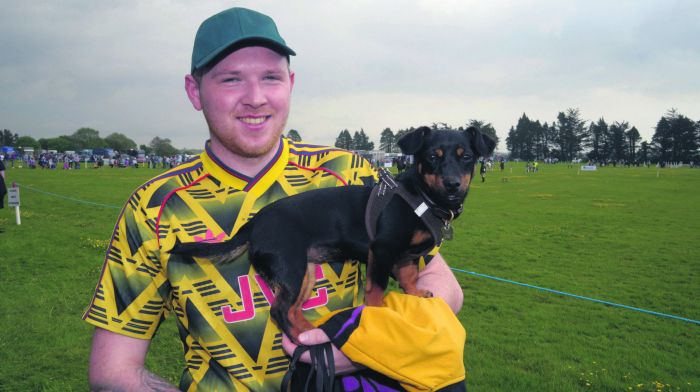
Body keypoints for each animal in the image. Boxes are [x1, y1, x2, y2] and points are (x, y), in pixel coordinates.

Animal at [173, 127, 494, 342]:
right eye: (432, 157)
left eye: (466, 157)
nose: (452, 184)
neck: (422, 197)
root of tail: (254, 223)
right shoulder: (382, 250)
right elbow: (376, 289)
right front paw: (377, 314)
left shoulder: (406, 257)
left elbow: (409, 277)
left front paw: (416, 294)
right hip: (291, 269)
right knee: (279, 312)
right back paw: (301, 339)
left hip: (303, 274)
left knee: (292, 311)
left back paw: (309, 334)